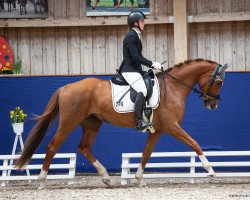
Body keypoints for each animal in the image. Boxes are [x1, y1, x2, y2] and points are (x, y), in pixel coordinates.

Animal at [14, 59, 229, 188]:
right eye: (219, 82)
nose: (213, 104)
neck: (174, 87)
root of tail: (67, 86)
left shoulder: (158, 130)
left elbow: (146, 153)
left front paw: (138, 178)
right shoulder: (172, 126)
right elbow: (194, 143)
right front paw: (211, 171)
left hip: (92, 124)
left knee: (84, 147)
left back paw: (107, 178)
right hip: (69, 121)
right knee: (52, 147)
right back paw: (42, 180)